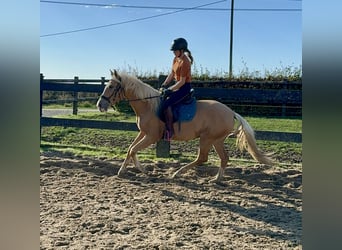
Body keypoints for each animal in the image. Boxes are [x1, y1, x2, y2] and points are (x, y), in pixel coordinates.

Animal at [96, 69, 272, 183]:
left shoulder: (151, 137)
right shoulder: (143, 133)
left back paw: (178, 173)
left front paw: (142, 170)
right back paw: (216, 179)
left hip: (207, 139)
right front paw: (122, 171)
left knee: (203, 158)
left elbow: (133, 150)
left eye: (110, 86)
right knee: (223, 158)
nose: (100, 105)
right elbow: (130, 149)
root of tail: (231, 112)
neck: (148, 105)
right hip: (216, 140)